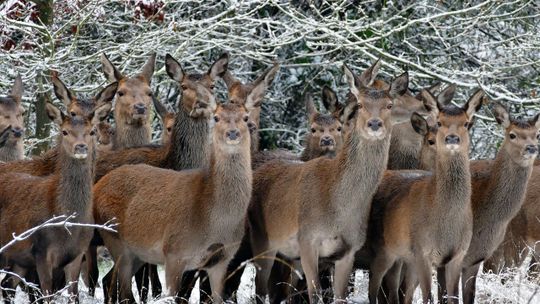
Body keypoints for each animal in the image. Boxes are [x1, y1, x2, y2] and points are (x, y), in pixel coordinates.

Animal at [0, 97, 112, 302]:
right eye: (64, 131)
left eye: (91, 131)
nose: (81, 146)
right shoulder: (41, 252)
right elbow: (46, 294)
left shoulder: (77, 254)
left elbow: (74, 294)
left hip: (19, 257)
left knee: (7, 285)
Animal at [92, 89, 253, 302]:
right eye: (216, 117)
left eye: (246, 117)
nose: (233, 133)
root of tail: (97, 188)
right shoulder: (174, 252)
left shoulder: (222, 259)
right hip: (114, 238)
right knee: (125, 291)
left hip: (137, 252)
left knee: (110, 280)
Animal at [247, 64, 408, 304]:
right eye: (360, 105)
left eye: (389, 105)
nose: (374, 123)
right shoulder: (307, 240)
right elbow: (315, 296)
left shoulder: (348, 251)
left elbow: (339, 297)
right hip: (262, 239)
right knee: (260, 289)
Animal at [364, 88, 484, 304]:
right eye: (440, 122)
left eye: (466, 123)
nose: (452, 138)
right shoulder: (422, 251)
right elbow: (428, 297)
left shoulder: (456, 256)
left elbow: (451, 297)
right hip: (383, 250)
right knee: (374, 289)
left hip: (403, 258)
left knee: (398, 291)